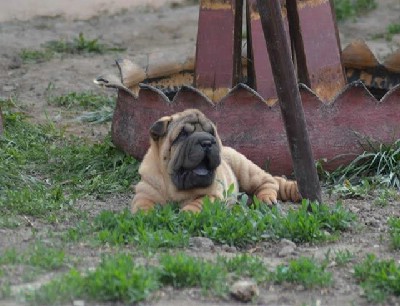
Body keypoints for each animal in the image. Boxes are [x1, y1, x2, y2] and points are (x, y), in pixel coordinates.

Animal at [131, 109, 300, 213]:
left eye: (211, 133)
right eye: (182, 135)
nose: (207, 142)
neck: (174, 187)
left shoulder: (212, 195)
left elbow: (198, 203)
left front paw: (187, 213)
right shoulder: (145, 192)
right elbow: (142, 205)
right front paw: (146, 215)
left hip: (245, 170)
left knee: (269, 182)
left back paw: (266, 199)